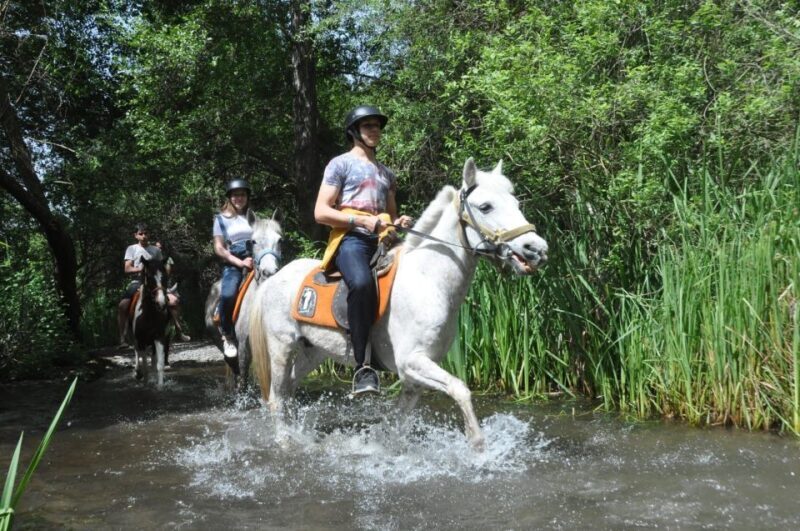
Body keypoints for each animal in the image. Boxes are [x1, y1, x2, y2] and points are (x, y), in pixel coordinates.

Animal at [129, 256, 171, 388]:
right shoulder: (141, 340)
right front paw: (145, 382)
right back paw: (138, 373)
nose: (161, 303)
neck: (149, 315)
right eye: (150, 278)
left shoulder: (159, 337)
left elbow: (159, 363)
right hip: (135, 339)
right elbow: (144, 363)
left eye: (165, 277)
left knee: (152, 358)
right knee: (137, 352)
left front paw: (160, 385)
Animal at [204, 215, 283, 392]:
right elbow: (243, 377)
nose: (269, 272)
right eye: (253, 241)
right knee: (233, 365)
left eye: (280, 240)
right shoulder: (243, 345)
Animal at [248, 158, 549, 449]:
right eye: (485, 206)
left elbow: (400, 421)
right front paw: (477, 446)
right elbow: (460, 389)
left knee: (289, 389)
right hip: (281, 346)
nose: (537, 249)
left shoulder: (415, 376)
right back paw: (285, 441)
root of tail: (274, 277)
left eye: (516, 203)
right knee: (276, 396)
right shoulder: (412, 362)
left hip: (314, 351)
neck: (429, 280)